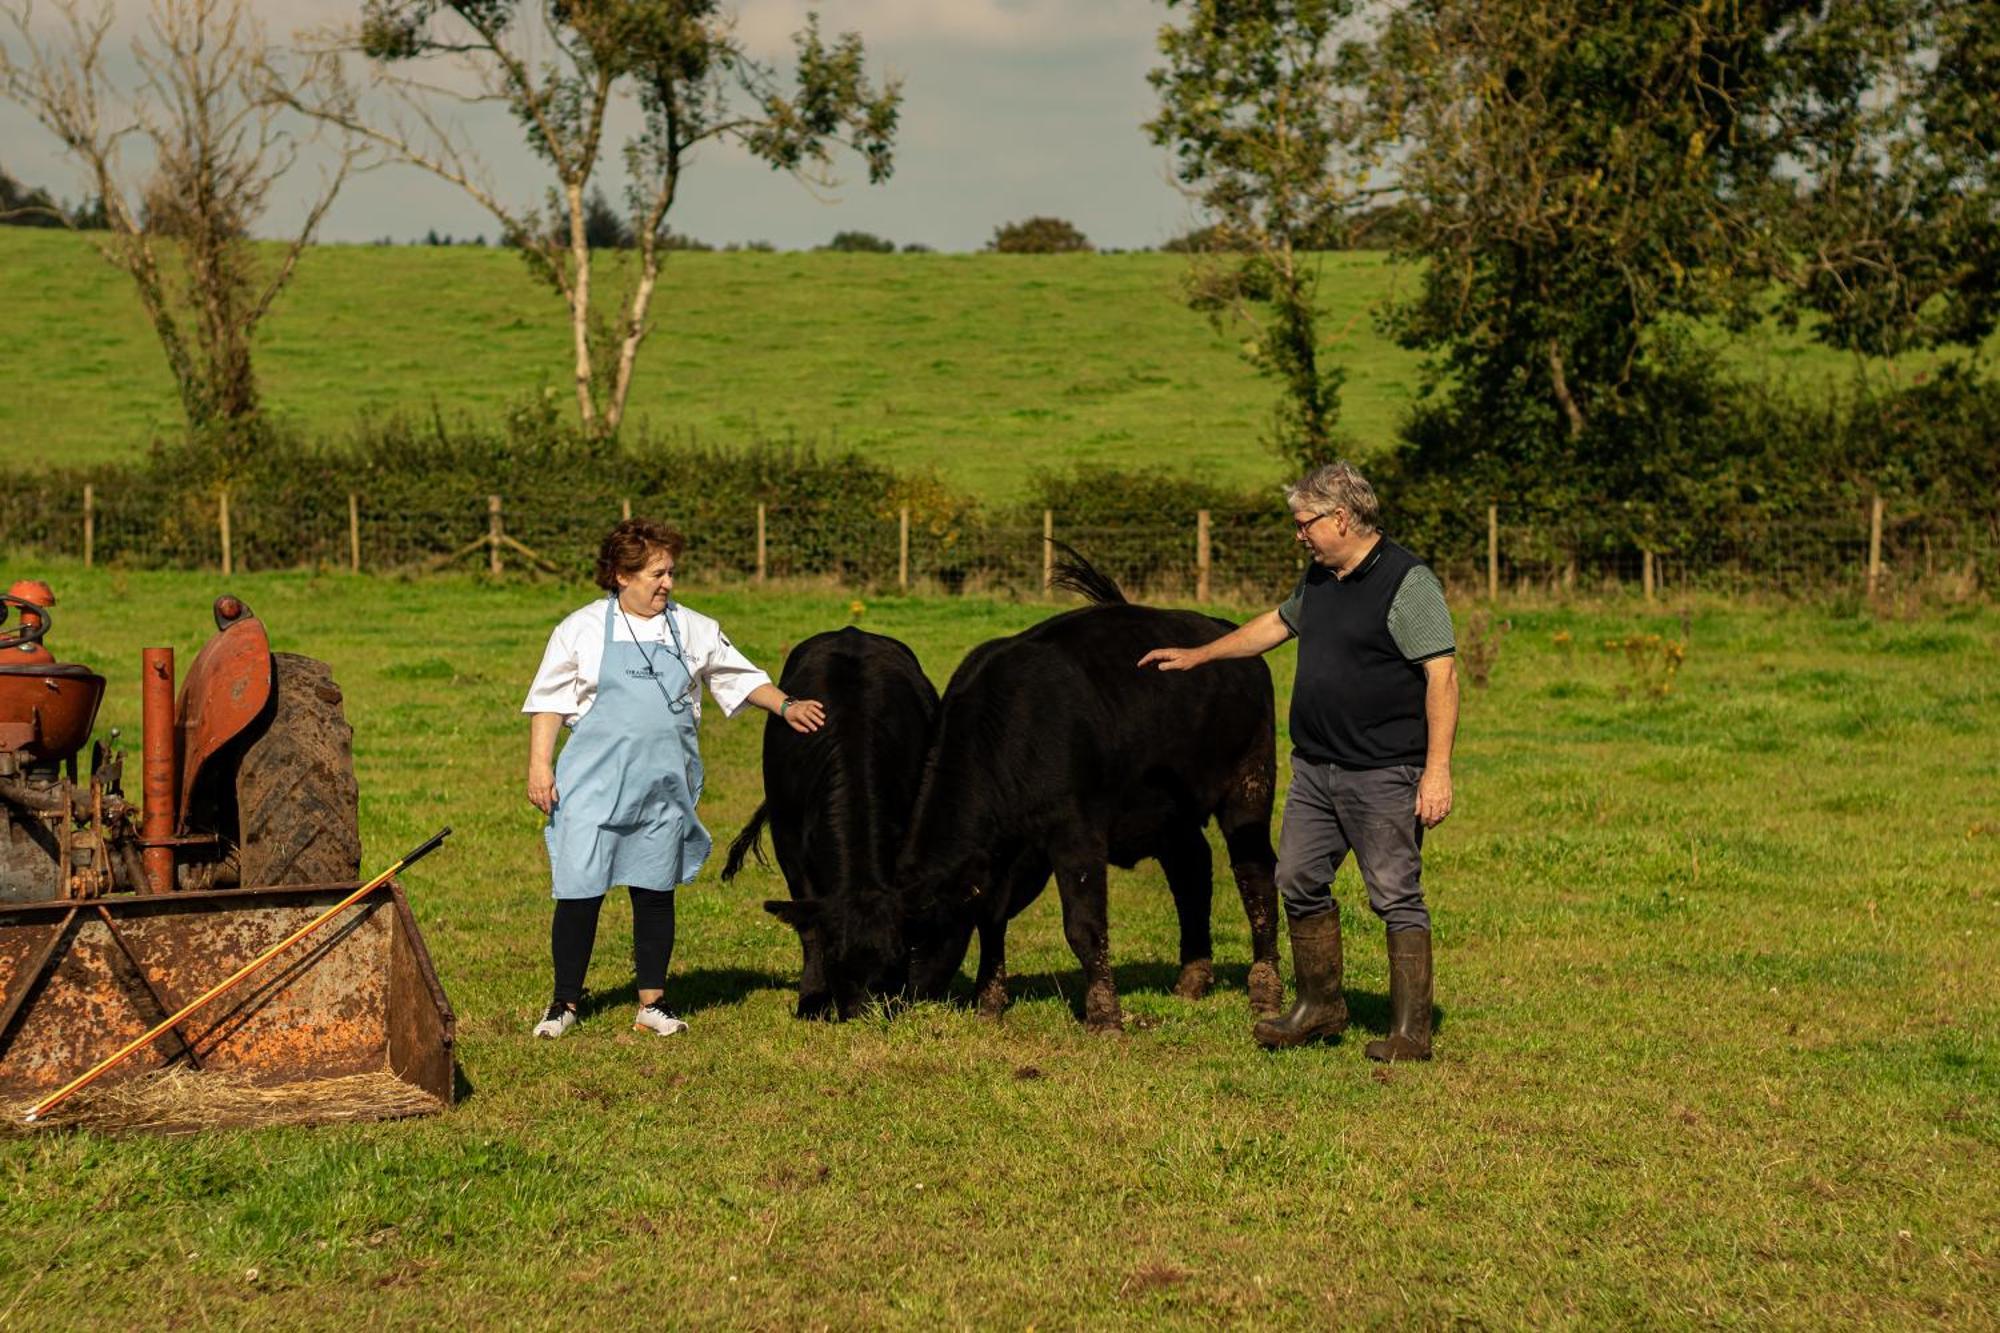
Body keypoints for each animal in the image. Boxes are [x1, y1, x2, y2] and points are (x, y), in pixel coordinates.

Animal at [720, 628, 936, 1012]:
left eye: (895, 957)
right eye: (836, 958)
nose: (865, 1013)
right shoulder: (788, 842)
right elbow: (809, 925)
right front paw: (812, 996)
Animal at [776, 548, 1280, 1024]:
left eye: (913, 943)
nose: (899, 1000)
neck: (1013, 725)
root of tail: (1221, 629)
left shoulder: (1076, 836)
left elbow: (1083, 926)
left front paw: (1104, 1015)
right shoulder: (1010, 855)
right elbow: (991, 918)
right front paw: (989, 1001)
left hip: (1250, 782)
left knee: (1254, 874)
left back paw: (1264, 987)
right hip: (1171, 815)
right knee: (1191, 870)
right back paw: (1192, 979)